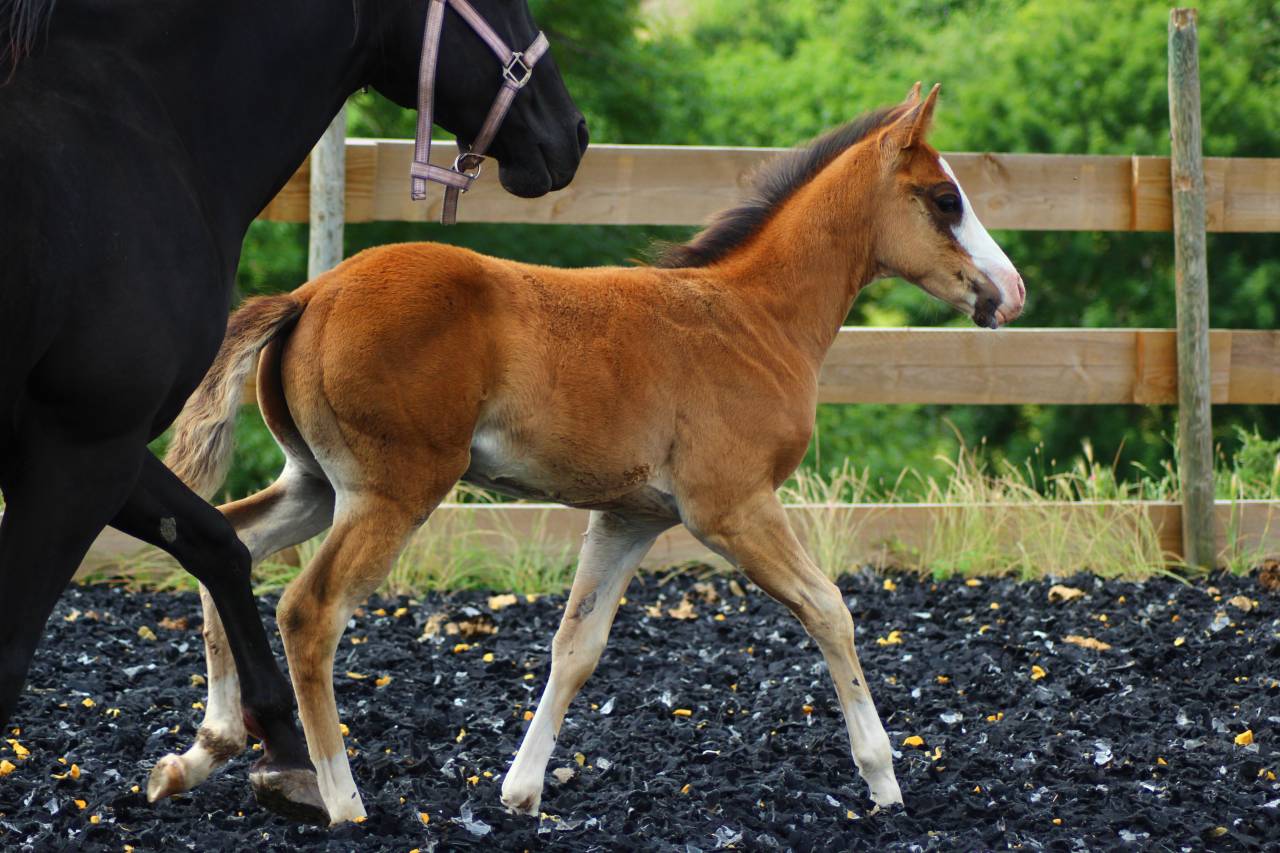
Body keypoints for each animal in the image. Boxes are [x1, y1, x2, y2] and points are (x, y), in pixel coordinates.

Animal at [0, 0, 586, 819]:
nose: (572, 133)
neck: (139, 122)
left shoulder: (87, 447)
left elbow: (215, 540)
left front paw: (268, 750)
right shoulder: (84, 444)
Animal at [163, 82, 1024, 823]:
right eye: (945, 199)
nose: (1010, 293)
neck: (753, 319)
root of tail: (310, 295)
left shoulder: (629, 516)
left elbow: (577, 646)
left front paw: (520, 789)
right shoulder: (732, 506)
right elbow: (830, 610)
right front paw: (882, 777)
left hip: (316, 483)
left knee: (229, 543)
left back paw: (204, 749)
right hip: (392, 490)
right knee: (310, 609)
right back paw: (340, 797)